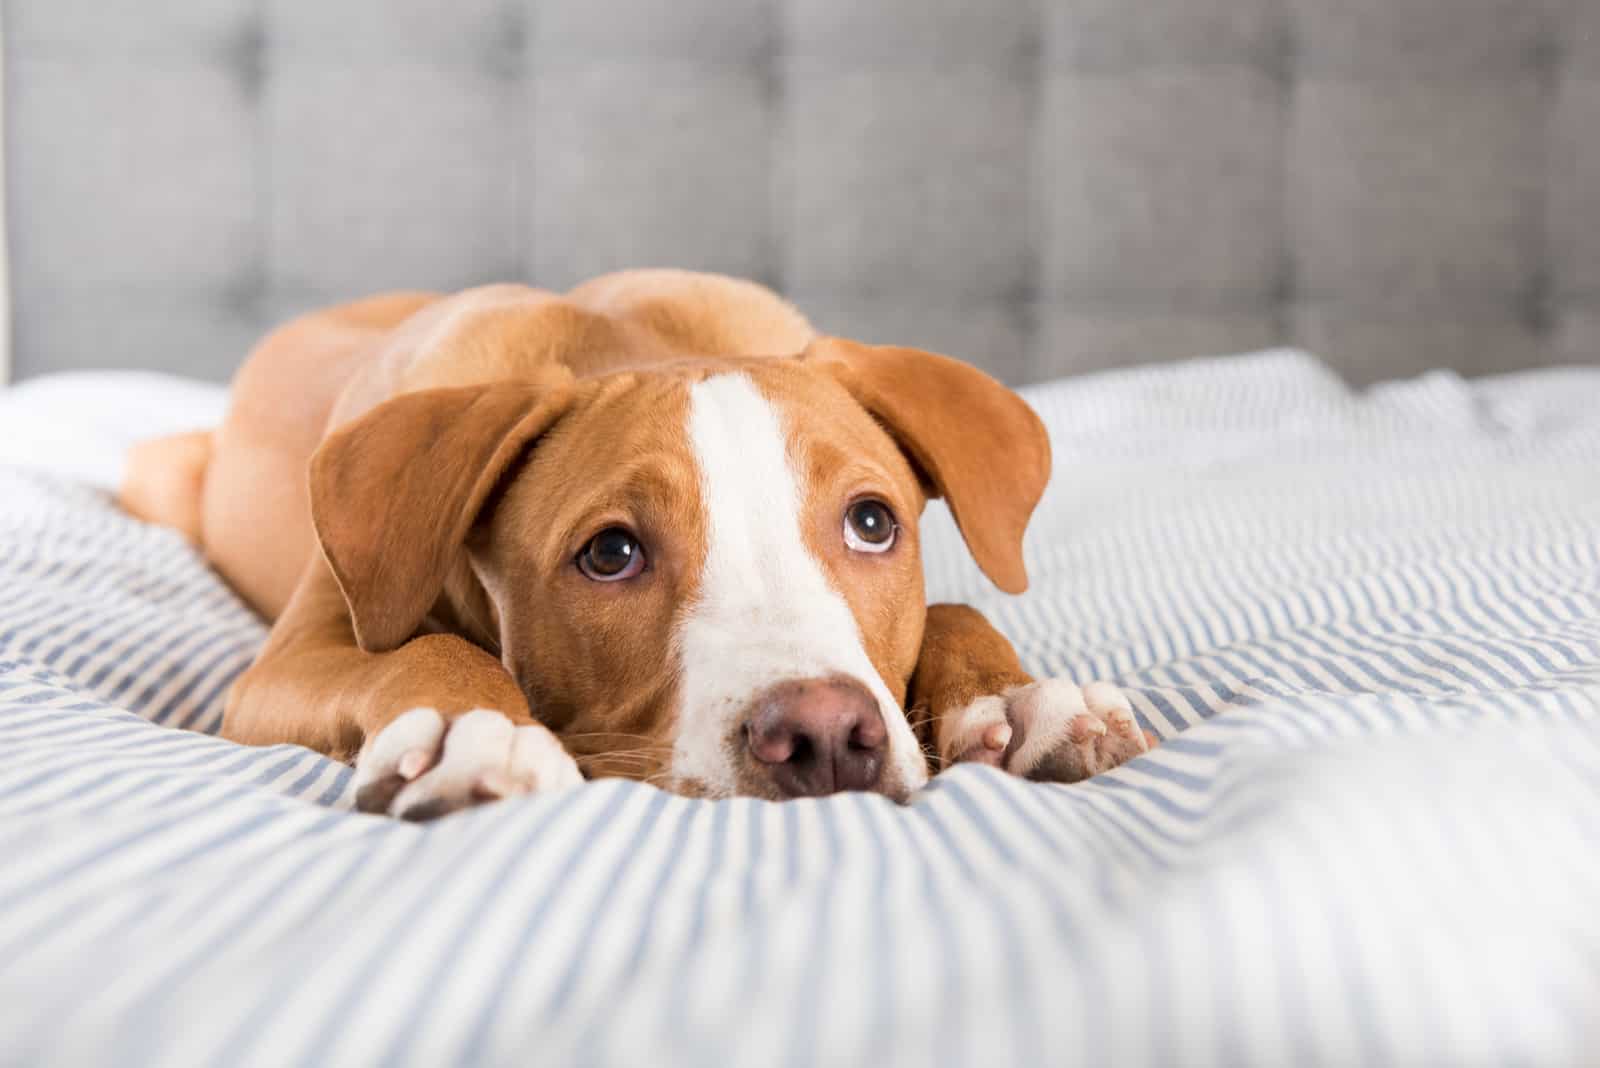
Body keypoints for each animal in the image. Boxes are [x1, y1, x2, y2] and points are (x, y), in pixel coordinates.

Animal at [124, 268, 1152, 818]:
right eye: (610, 554)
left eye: (872, 523)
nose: (824, 736)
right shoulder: (288, 663)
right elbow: (420, 648)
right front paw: (474, 727)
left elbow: (954, 602)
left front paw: (1018, 699)